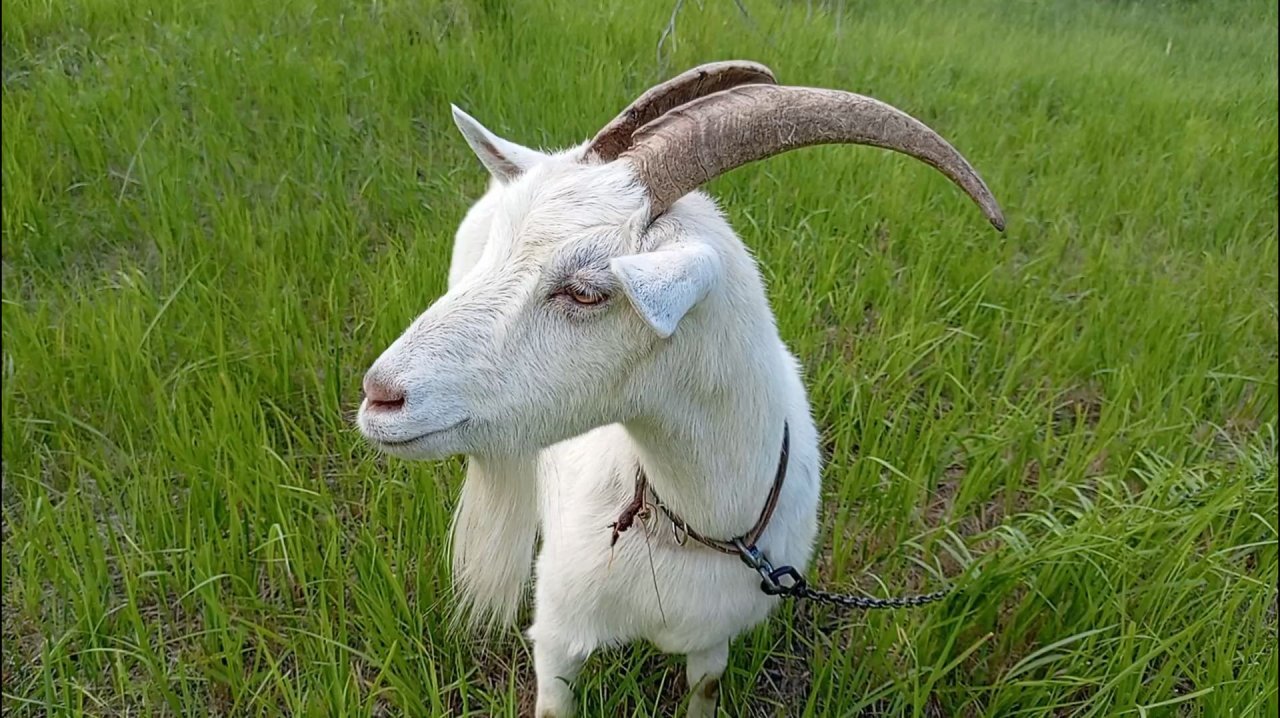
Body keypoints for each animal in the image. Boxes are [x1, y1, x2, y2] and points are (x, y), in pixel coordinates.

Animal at [356, 61, 1004, 717]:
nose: (381, 395)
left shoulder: (715, 637)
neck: (701, 521)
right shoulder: (560, 636)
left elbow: (705, 687)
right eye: (495, 254)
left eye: (586, 291)